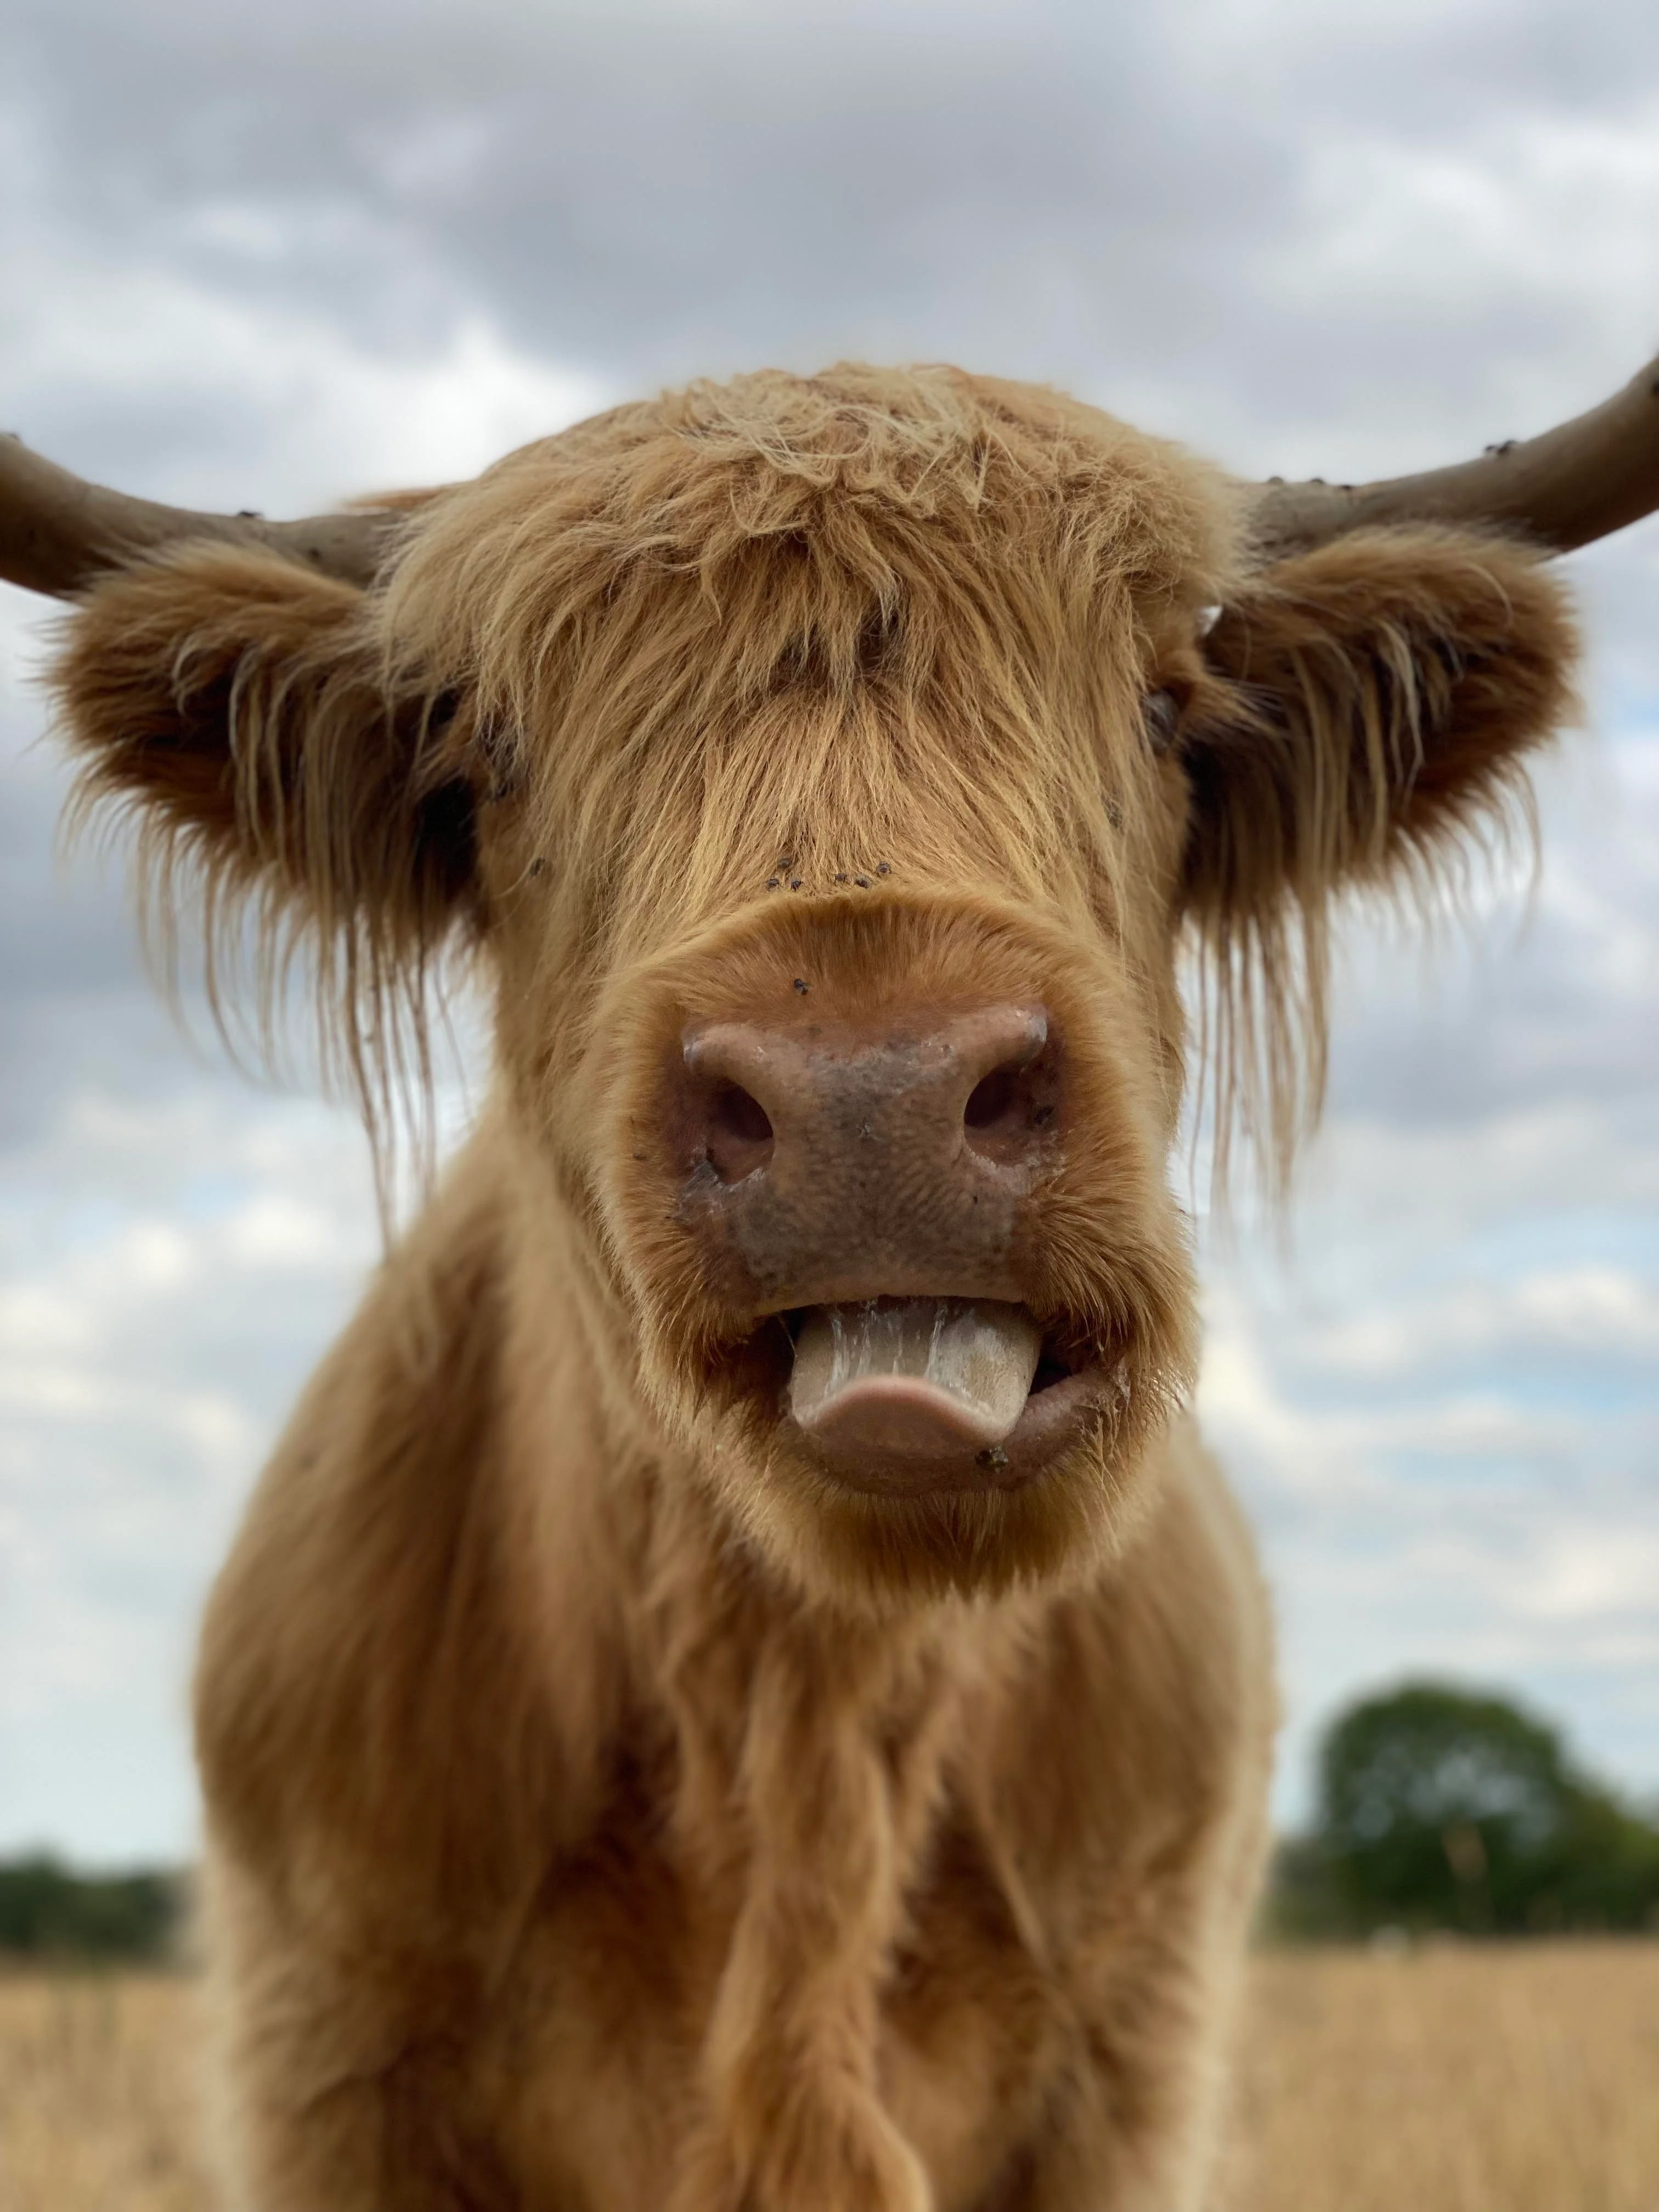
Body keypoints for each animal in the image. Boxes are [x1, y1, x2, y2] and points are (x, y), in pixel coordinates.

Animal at [3, 351, 1655, 2211]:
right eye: (492, 754)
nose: (873, 1093)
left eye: (1166, 711)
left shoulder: (1133, 2064)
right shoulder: (328, 2061)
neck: (801, 1724)